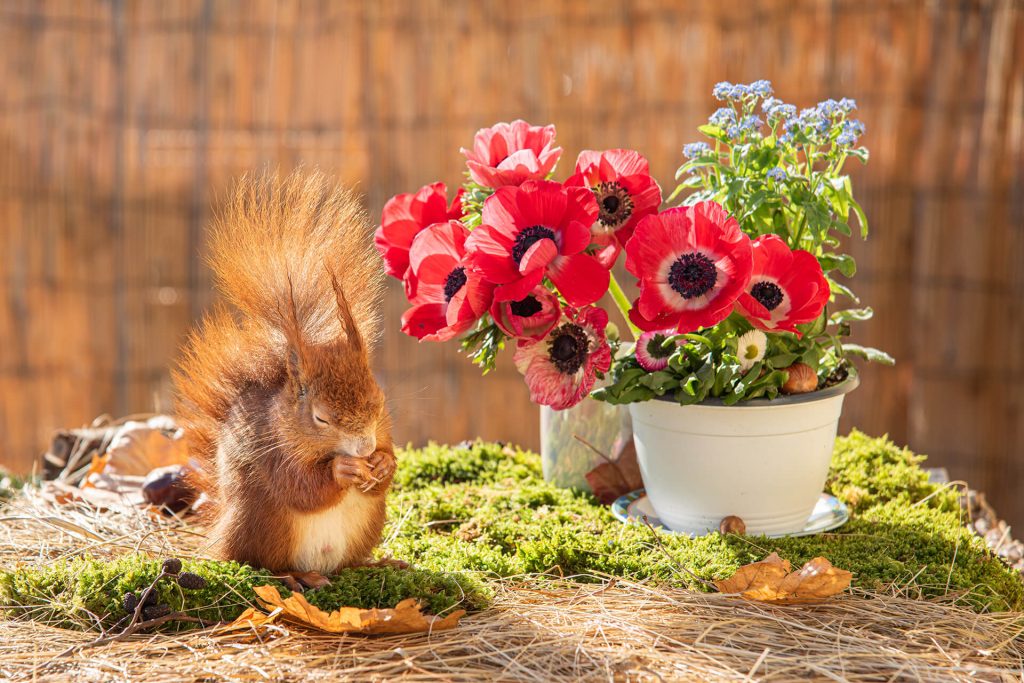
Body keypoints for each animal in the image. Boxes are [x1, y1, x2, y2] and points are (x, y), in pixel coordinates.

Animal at [173, 170, 397, 588]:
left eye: (379, 400)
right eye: (321, 417)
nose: (363, 447)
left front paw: (383, 464)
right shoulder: (269, 448)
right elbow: (298, 486)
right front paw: (343, 471)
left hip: (368, 524)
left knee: (347, 562)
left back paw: (373, 564)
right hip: (260, 522)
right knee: (261, 562)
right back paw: (296, 576)